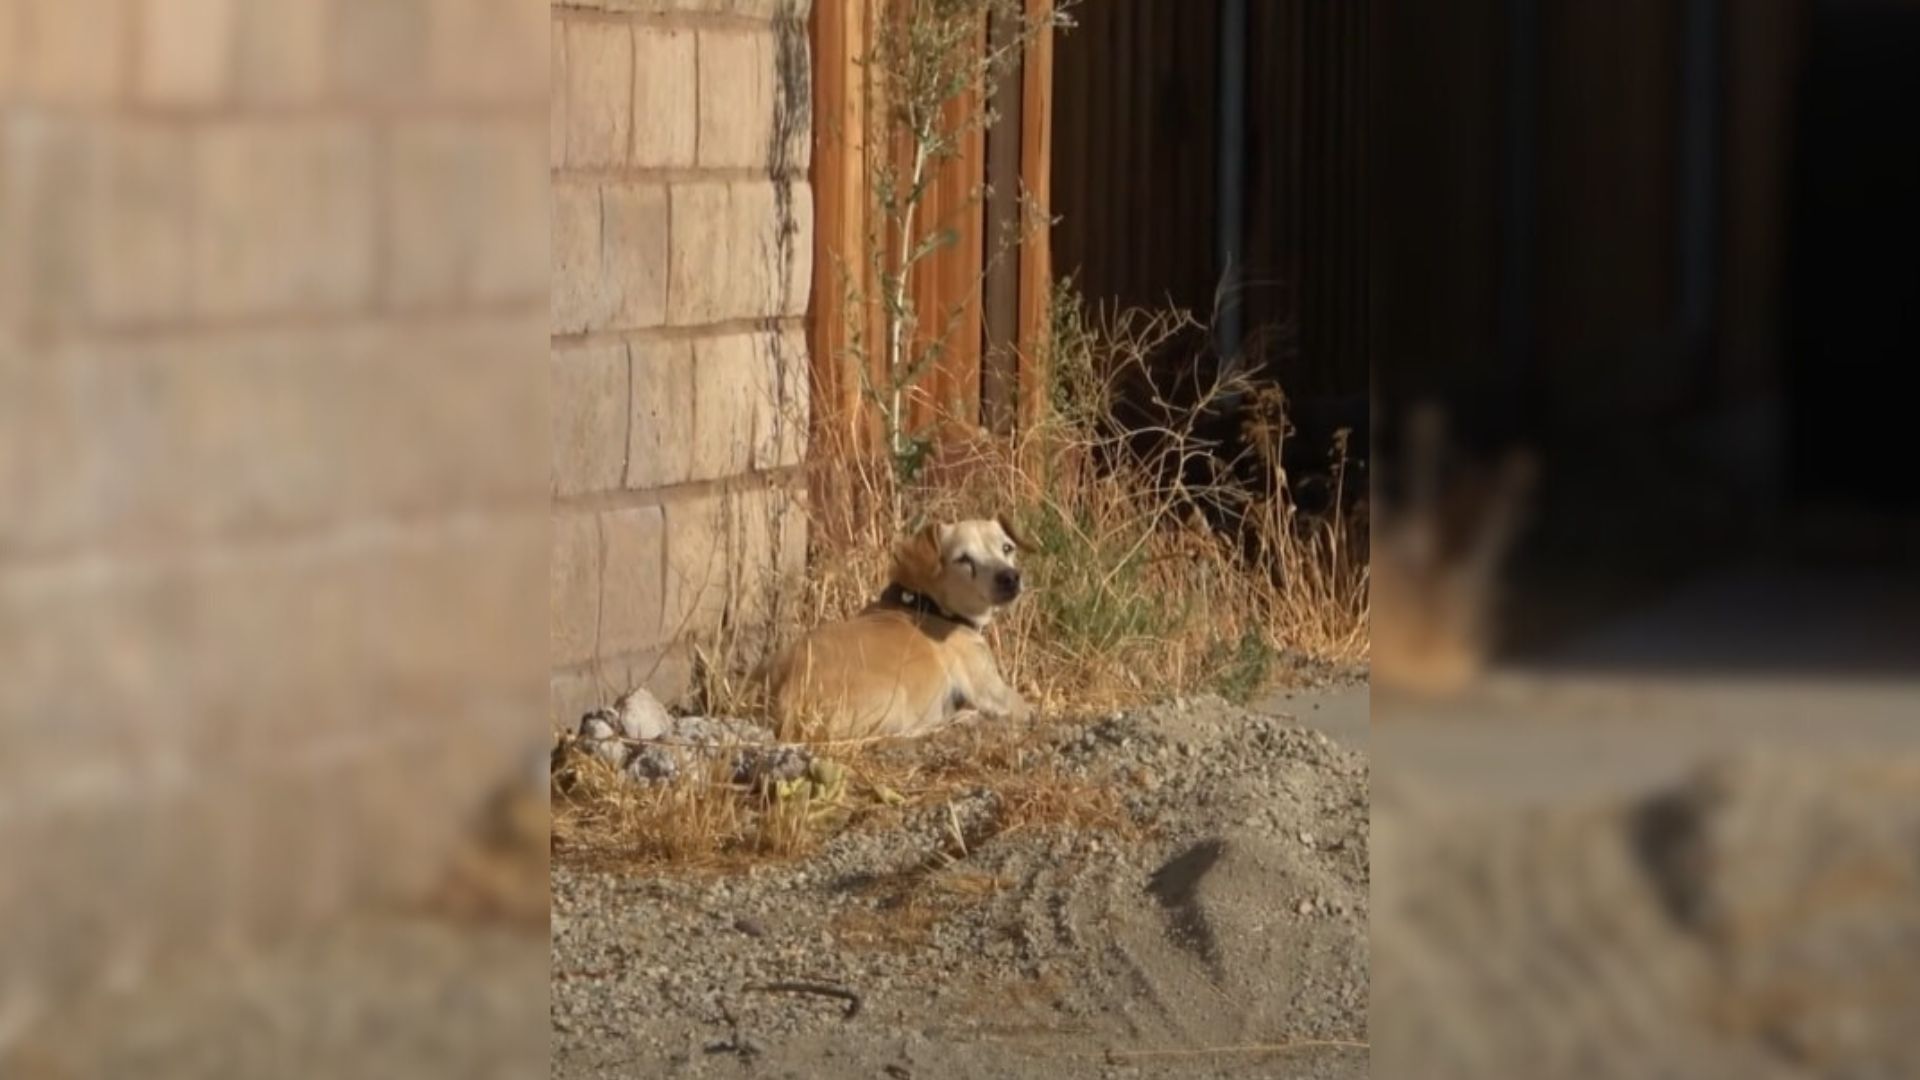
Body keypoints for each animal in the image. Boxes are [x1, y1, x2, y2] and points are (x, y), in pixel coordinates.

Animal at [760, 515, 1036, 737]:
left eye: (1007, 547)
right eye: (964, 559)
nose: (1010, 577)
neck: (923, 602)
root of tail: (786, 695)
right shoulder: (997, 694)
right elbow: (1027, 709)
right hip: (894, 705)